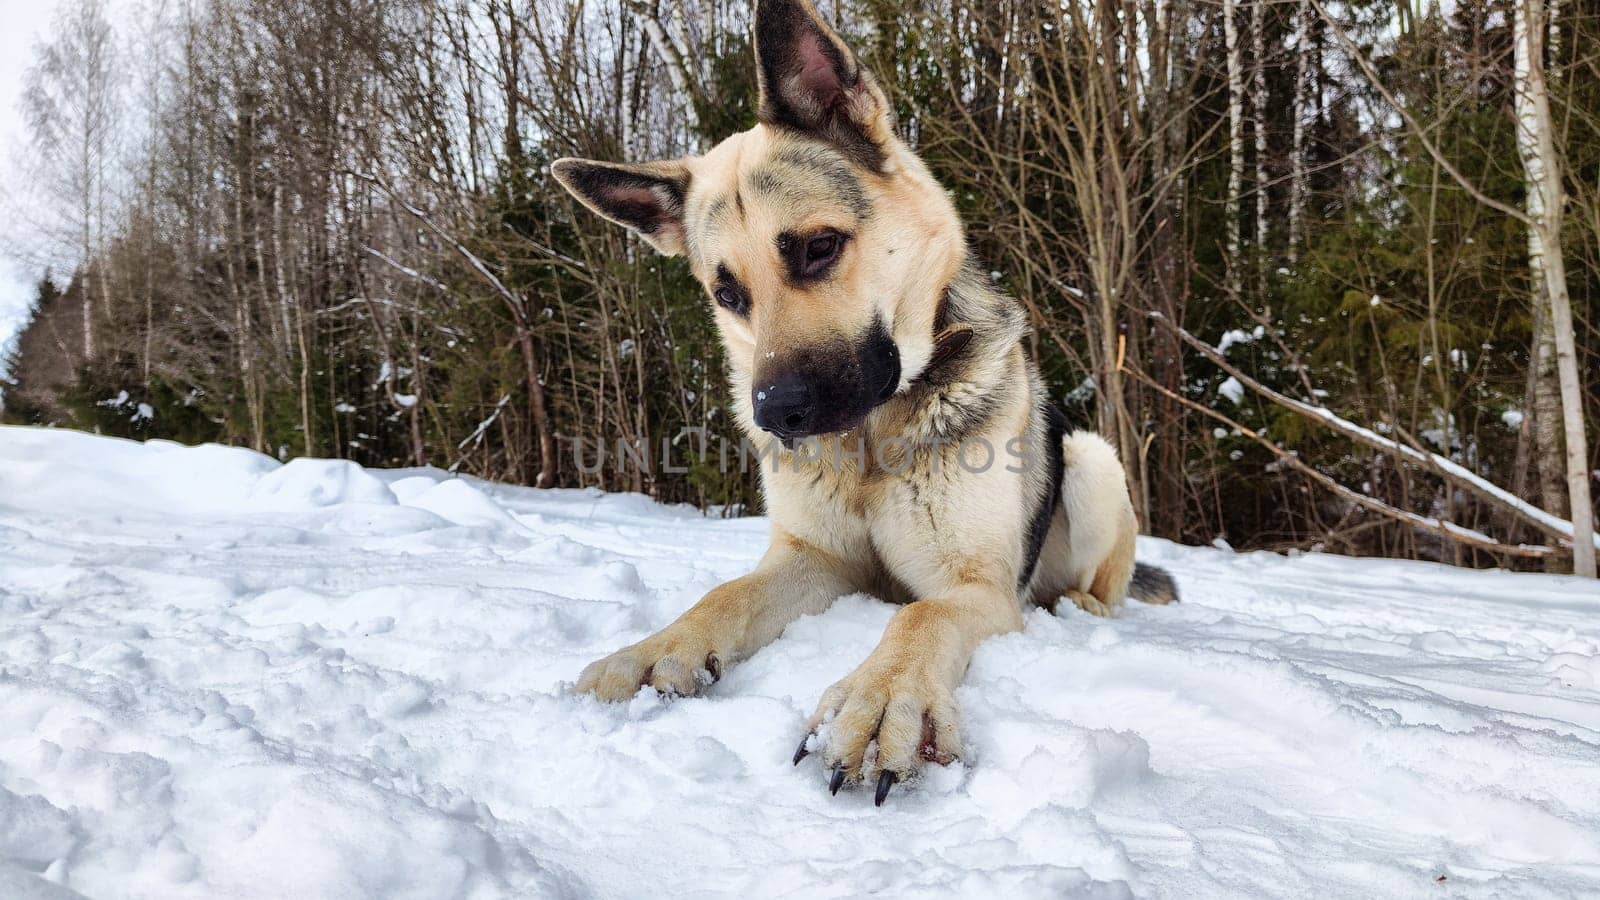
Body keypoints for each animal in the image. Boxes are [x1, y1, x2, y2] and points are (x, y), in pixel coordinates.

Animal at [553, 0, 1177, 800]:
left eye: (818, 248)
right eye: (728, 294)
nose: (776, 415)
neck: (872, 443)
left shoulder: (975, 588)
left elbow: (918, 620)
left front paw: (882, 702)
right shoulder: (816, 559)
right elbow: (725, 594)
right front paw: (657, 648)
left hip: (1093, 461)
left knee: (1099, 581)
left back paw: (1080, 606)